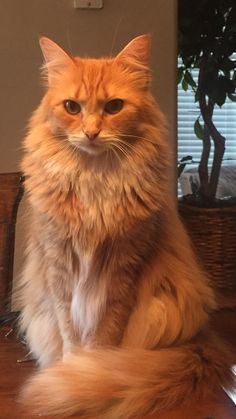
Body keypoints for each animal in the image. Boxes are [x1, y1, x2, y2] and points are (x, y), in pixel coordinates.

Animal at [16, 34, 234, 418]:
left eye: (114, 106)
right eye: (72, 107)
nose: (91, 133)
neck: (93, 183)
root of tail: (201, 339)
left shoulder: (122, 268)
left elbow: (102, 337)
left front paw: (87, 372)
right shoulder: (60, 267)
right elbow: (70, 331)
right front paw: (72, 368)